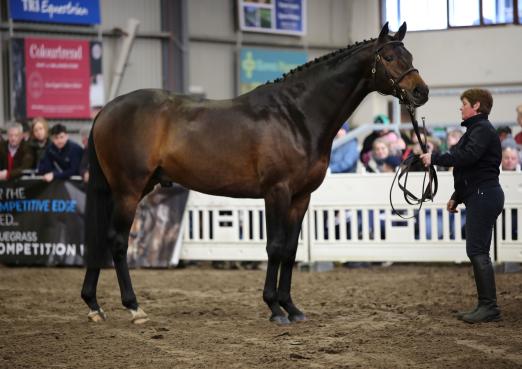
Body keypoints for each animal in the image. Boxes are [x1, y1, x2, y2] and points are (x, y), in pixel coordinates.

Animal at [80, 21, 426, 324]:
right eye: (389, 57)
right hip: (128, 190)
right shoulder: (276, 191)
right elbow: (274, 247)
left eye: (410, 56)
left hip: (127, 189)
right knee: (117, 241)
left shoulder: (301, 197)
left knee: (99, 238)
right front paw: (274, 308)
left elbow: (289, 250)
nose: (421, 92)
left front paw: (291, 307)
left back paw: (94, 306)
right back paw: (133, 307)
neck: (296, 115)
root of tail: (106, 110)